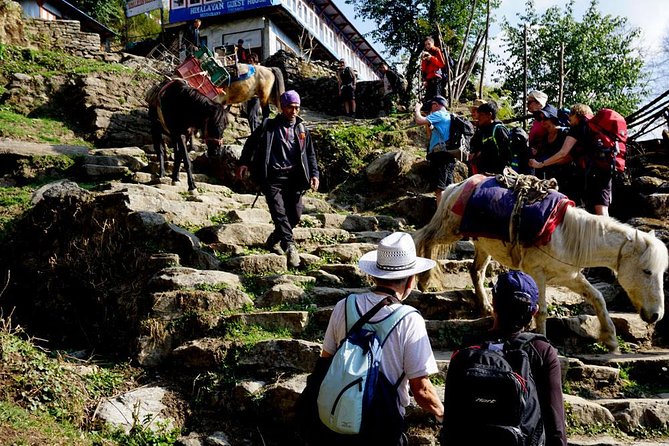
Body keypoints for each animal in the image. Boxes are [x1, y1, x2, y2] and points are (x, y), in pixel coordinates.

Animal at [414, 175, 664, 352]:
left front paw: (610, 339)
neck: (567, 235)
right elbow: (541, 310)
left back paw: (484, 306)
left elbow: (597, 298)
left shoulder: (570, 277)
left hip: (483, 244)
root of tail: (457, 185)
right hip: (450, 229)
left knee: (476, 271)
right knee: (424, 238)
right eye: (647, 271)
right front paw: (544, 340)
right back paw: (424, 281)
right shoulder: (537, 274)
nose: (655, 316)